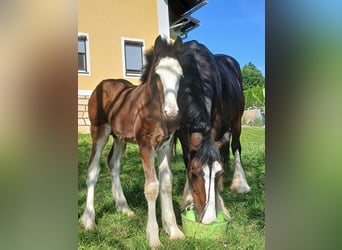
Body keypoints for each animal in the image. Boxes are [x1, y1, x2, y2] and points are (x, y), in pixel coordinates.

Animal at [80, 35, 184, 248]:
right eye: (157, 75)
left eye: (180, 75)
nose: (172, 113)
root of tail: (103, 84)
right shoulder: (146, 144)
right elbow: (152, 187)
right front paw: (153, 237)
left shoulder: (165, 145)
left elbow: (166, 182)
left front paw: (173, 230)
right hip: (99, 131)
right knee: (93, 169)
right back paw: (88, 219)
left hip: (120, 138)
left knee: (113, 163)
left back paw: (123, 207)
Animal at [175, 40, 250, 225]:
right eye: (194, 174)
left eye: (218, 173)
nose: (208, 220)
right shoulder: (181, 130)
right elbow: (187, 158)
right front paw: (188, 198)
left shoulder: (215, 124)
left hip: (237, 118)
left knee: (235, 146)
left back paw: (240, 183)